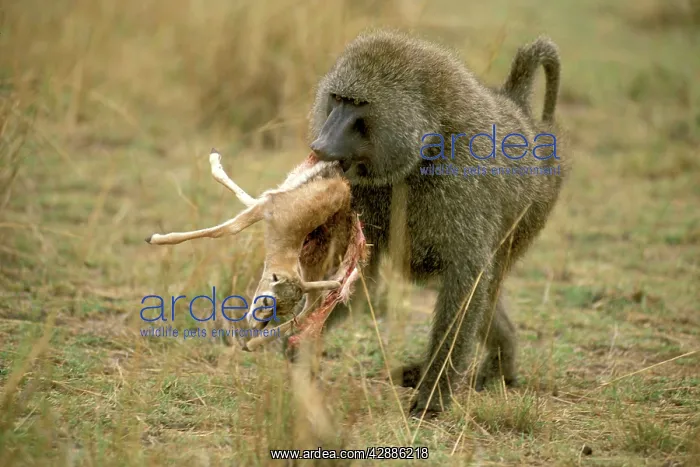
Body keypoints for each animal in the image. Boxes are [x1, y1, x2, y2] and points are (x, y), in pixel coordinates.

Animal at [306, 30, 565, 418]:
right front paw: (298, 342)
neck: (428, 144)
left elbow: (466, 279)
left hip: (531, 213)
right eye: (336, 99)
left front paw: (434, 395)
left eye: (358, 103)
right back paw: (501, 362)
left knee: (484, 288)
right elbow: (361, 275)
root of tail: (520, 111)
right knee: (488, 299)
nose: (321, 145)